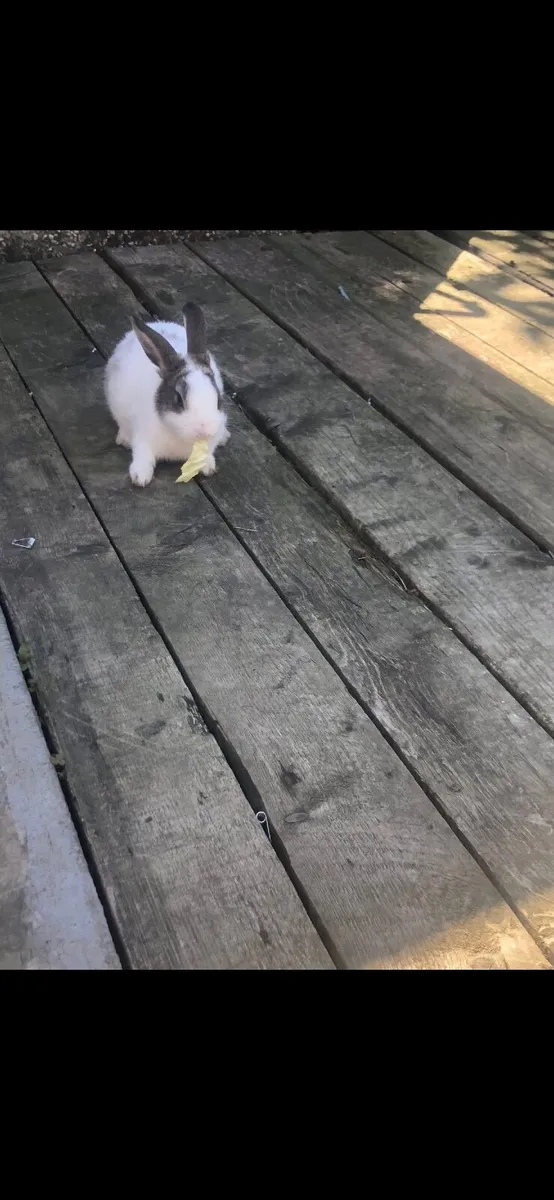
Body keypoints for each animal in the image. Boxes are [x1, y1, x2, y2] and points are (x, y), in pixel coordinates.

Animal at [105, 301, 230, 487]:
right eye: (179, 400)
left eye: (219, 399)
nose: (205, 431)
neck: (179, 435)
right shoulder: (143, 438)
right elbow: (143, 456)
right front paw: (140, 477)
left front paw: (208, 466)